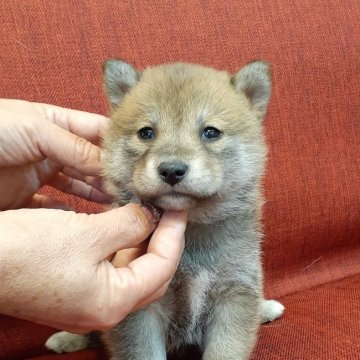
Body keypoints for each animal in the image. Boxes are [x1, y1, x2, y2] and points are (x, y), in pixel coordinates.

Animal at [47, 60, 284, 358]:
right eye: (146, 133)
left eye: (211, 132)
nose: (171, 170)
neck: (192, 235)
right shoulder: (140, 311)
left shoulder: (234, 292)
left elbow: (226, 349)